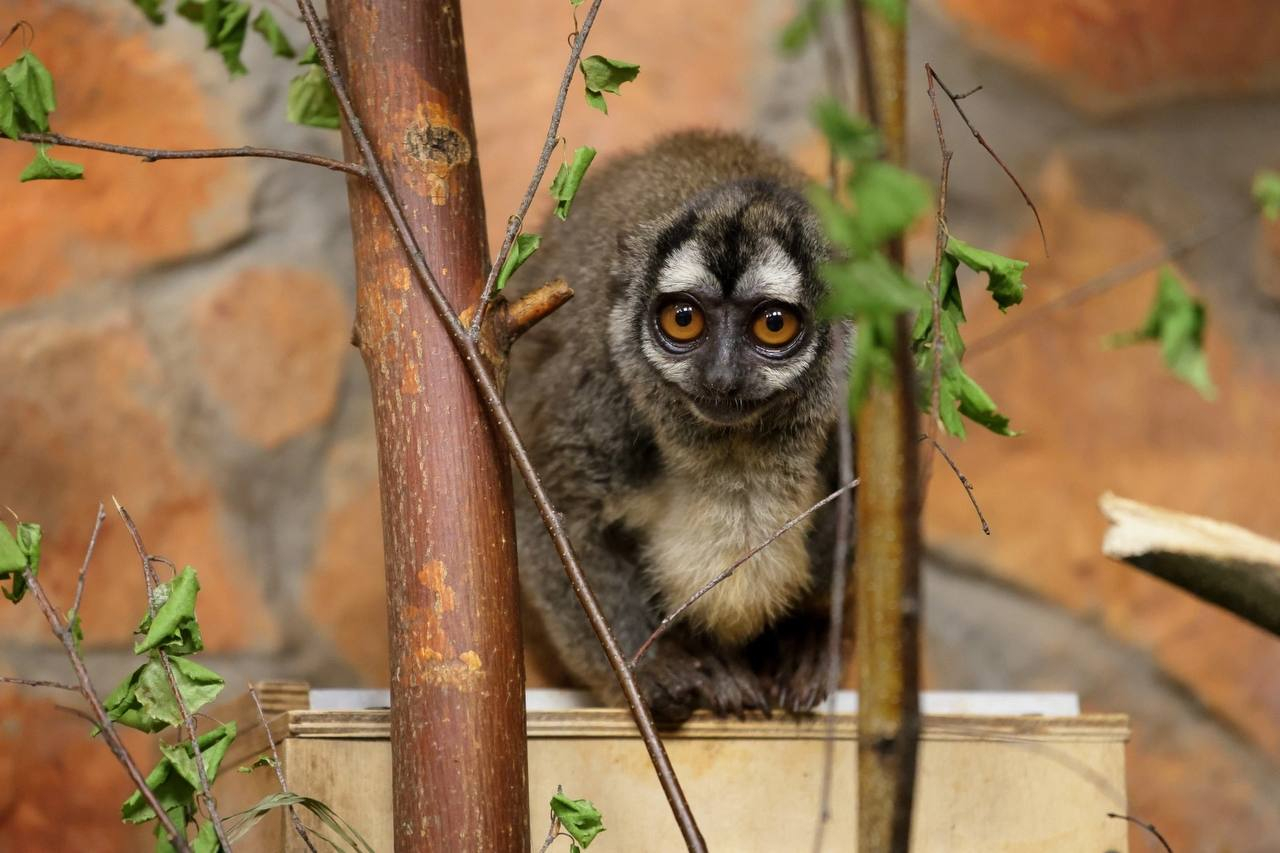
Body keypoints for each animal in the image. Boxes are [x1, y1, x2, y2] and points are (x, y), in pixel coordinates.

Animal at [501, 129, 849, 722]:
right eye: (683, 320)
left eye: (773, 324)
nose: (722, 377)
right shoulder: (596, 397)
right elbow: (554, 517)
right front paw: (654, 667)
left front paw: (808, 638)